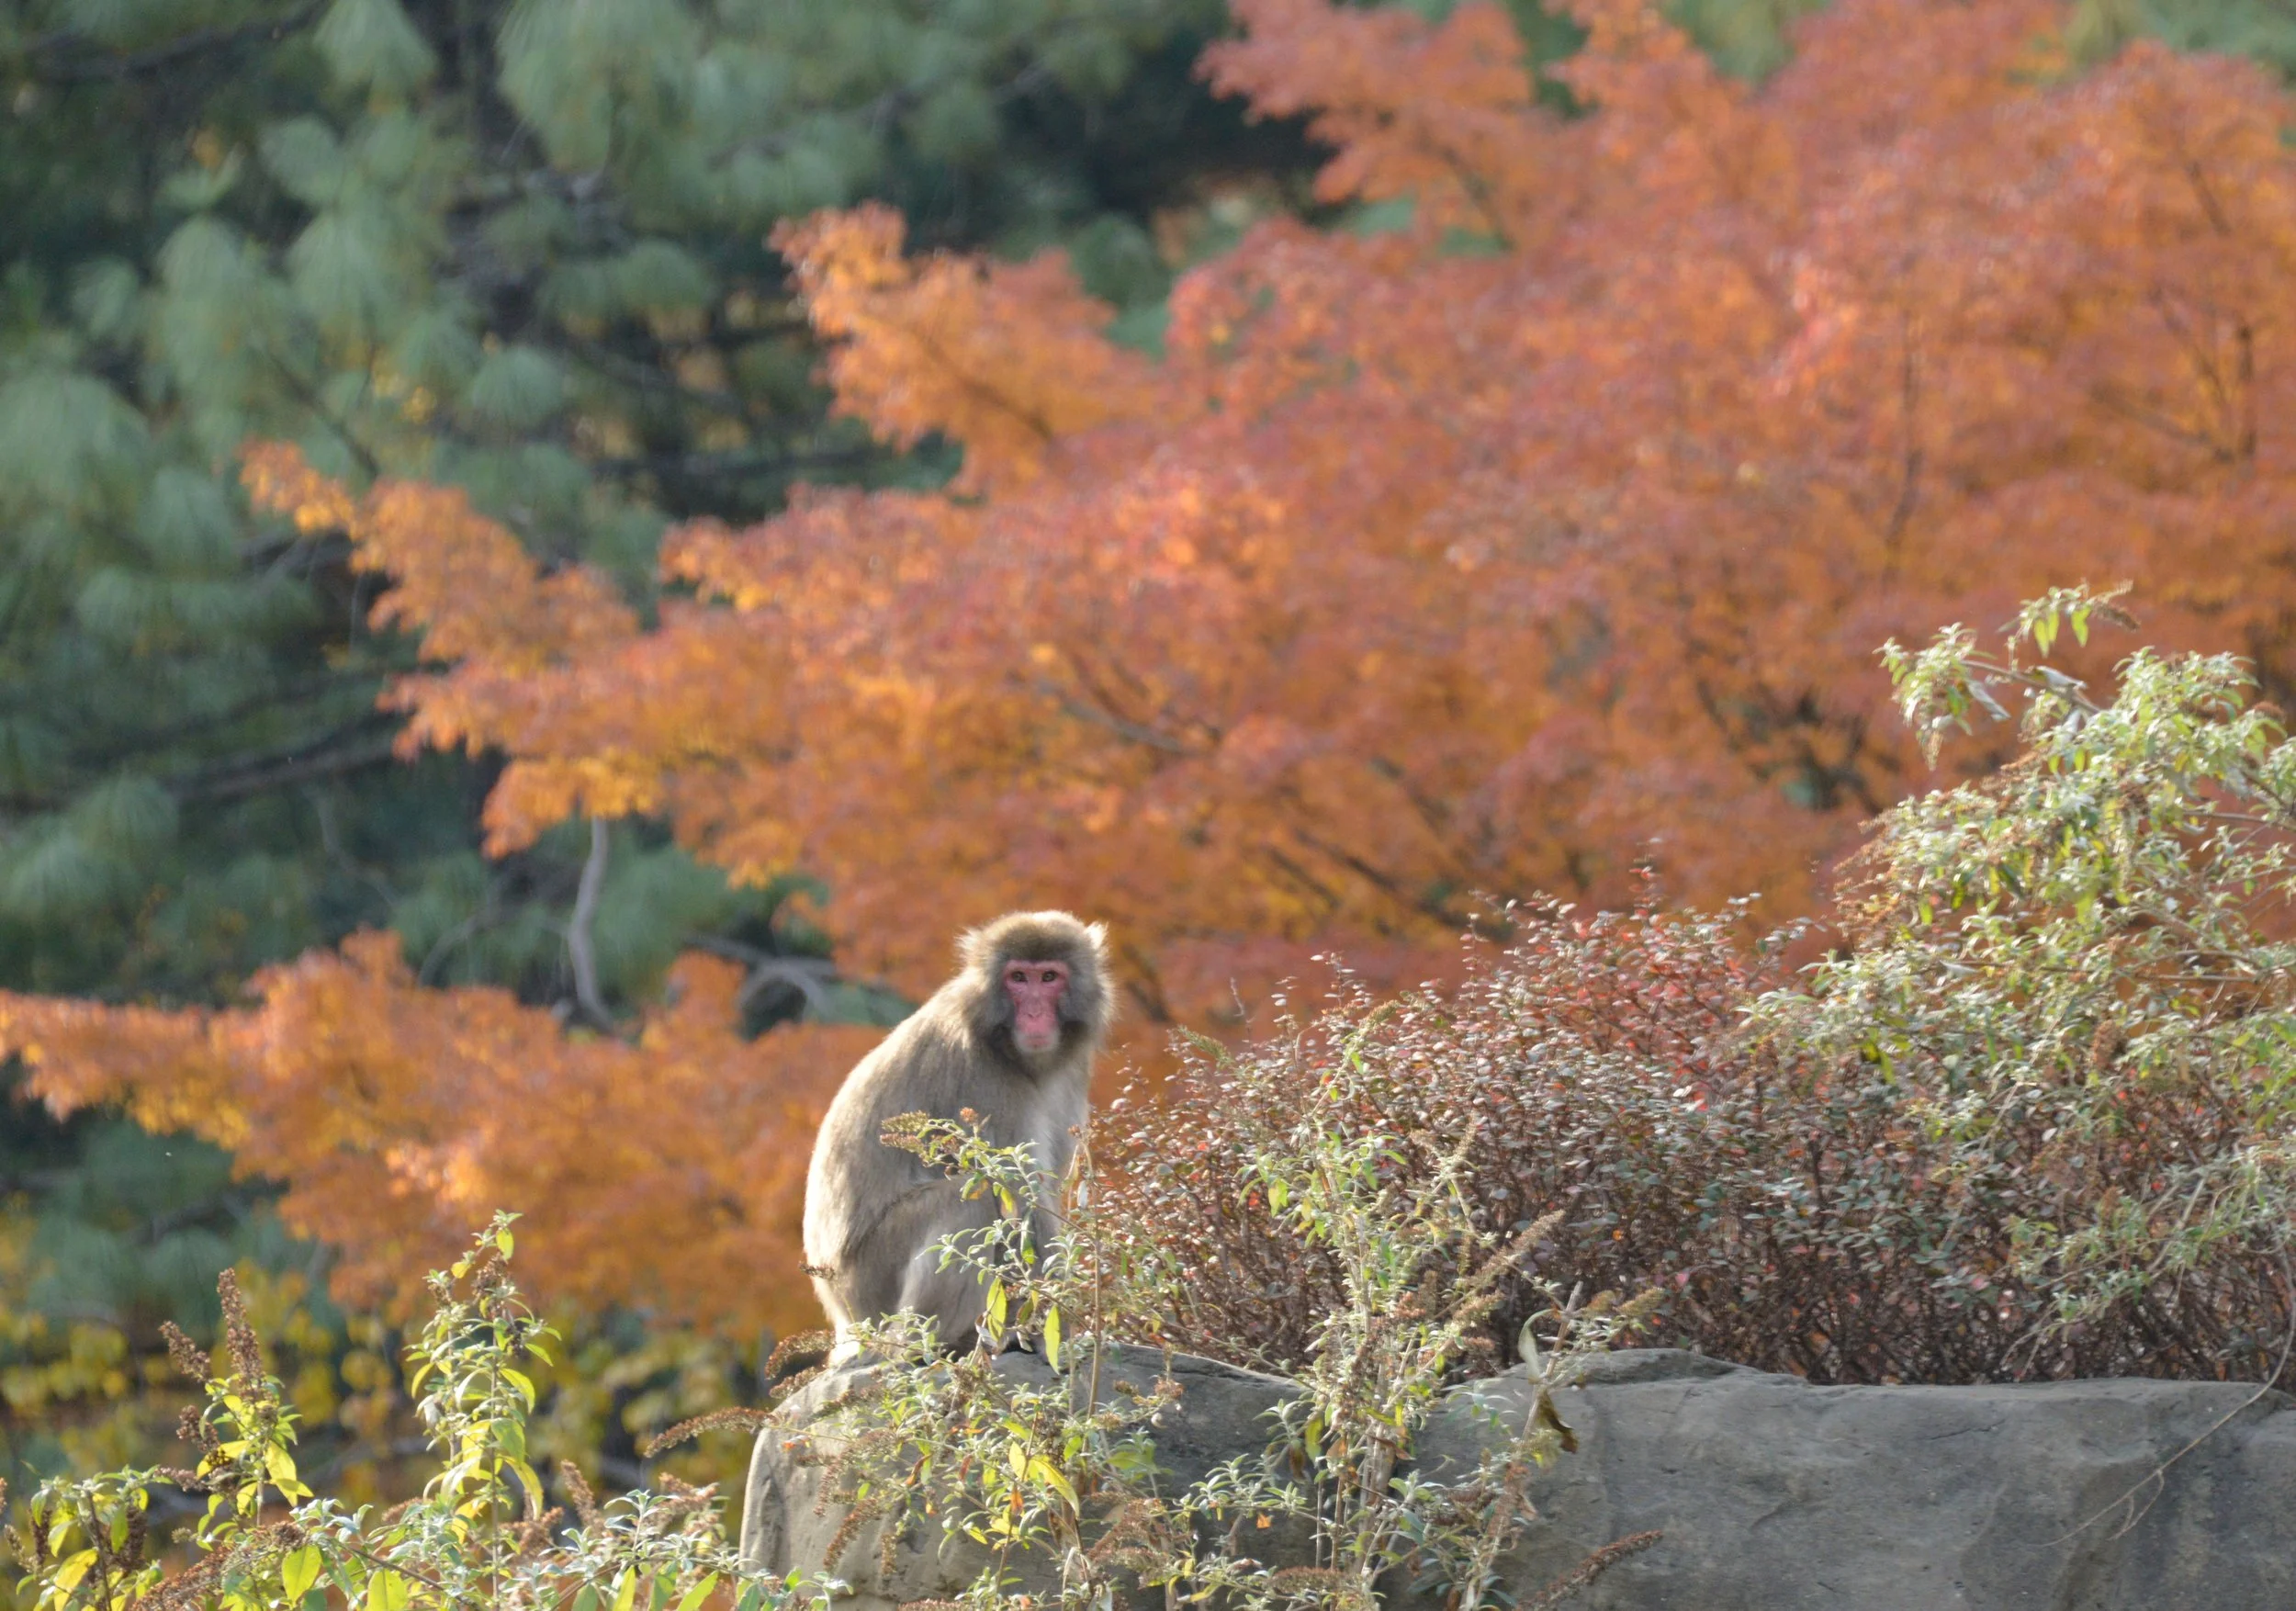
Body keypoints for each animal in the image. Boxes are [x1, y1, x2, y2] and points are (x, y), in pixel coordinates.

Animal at [802, 910, 1113, 1360]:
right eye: (1019, 978)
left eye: (1049, 977)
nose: (1035, 1013)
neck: (1007, 1048)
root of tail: (845, 1321)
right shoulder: (984, 1086)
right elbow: (1018, 1201)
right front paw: (1049, 1328)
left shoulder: (1072, 1070)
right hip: (872, 1284)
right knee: (972, 1201)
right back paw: (927, 1343)